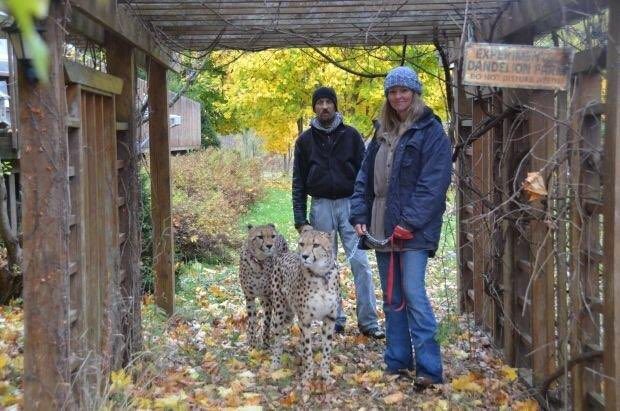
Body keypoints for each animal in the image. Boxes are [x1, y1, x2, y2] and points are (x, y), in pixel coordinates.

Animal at [270, 227, 340, 388]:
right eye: (302, 244)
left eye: (316, 245)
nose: (304, 256)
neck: (321, 276)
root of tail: (283, 254)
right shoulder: (306, 320)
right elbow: (308, 349)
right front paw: (308, 375)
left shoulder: (330, 318)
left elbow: (327, 349)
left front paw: (325, 375)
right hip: (279, 312)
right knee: (277, 338)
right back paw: (276, 362)